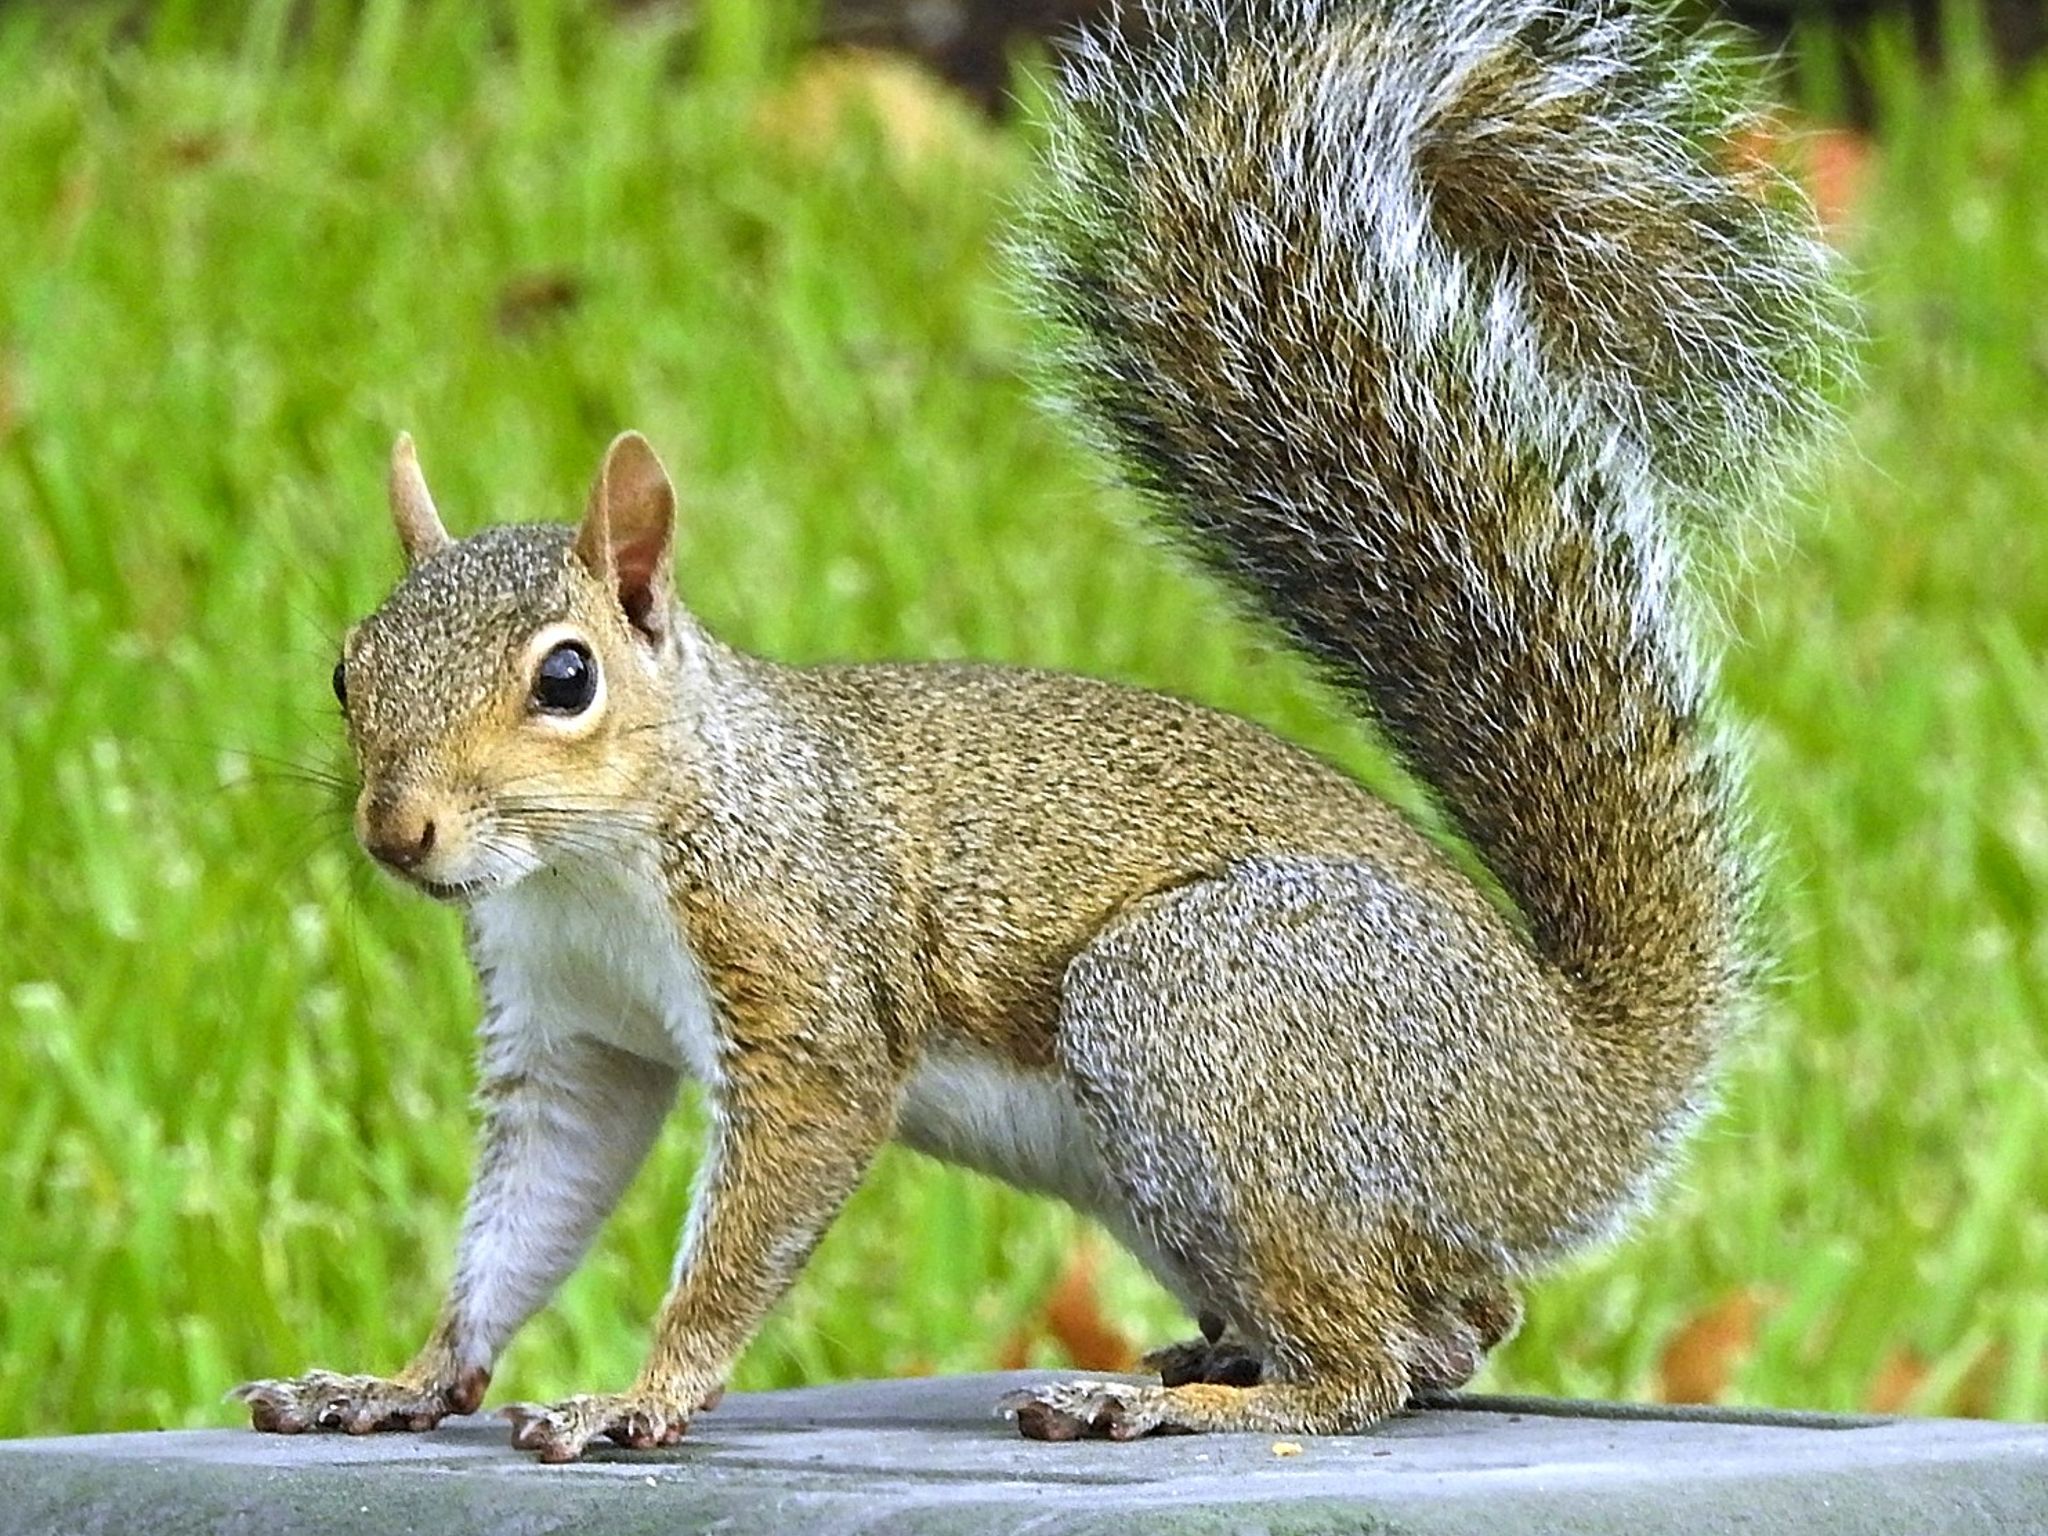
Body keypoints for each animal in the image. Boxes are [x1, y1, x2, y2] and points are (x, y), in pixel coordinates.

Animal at [235, 0, 1842, 1459]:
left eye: (565, 680)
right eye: (345, 669)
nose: (398, 831)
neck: (592, 856)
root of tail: (1572, 1096)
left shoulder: (802, 973)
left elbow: (757, 1215)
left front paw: (640, 1398)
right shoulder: (572, 1036)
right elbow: (526, 1218)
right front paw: (401, 1380)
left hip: (1208, 1016)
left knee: (1373, 1366)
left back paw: (1181, 1400)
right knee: (1452, 1328)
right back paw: (1214, 1357)